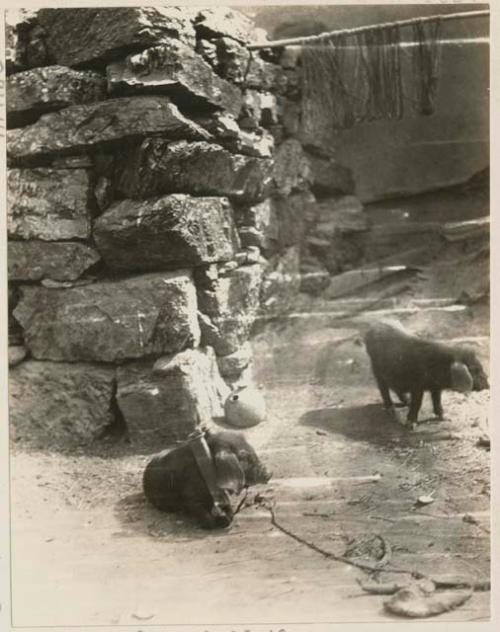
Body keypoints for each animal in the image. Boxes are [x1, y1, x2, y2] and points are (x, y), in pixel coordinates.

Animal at [143, 430, 272, 528]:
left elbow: (230, 511)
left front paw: (226, 517)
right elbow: (204, 517)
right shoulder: (189, 497)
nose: (270, 473)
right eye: (245, 457)